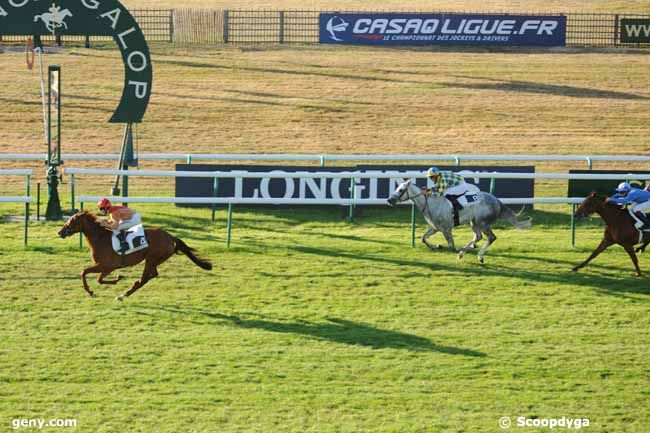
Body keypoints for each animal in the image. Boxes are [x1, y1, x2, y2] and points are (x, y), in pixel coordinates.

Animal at [57, 210, 211, 298]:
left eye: (71, 221)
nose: (60, 232)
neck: (100, 238)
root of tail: (171, 237)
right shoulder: (107, 267)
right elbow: (98, 279)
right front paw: (117, 278)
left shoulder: (107, 265)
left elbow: (85, 272)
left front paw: (90, 291)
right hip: (153, 260)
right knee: (152, 275)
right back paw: (127, 292)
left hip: (152, 258)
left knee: (145, 278)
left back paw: (124, 294)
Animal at [384, 177, 532, 262]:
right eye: (397, 187)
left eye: (401, 190)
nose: (389, 200)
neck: (432, 203)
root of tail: (497, 201)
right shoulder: (435, 228)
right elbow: (424, 238)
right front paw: (436, 246)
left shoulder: (446, 229)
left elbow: (451, 246)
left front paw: (454, 250)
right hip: (474, 222)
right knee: (478, 237)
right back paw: (468, 251)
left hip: (482, 222)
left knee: (491, 237)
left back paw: (477, 255)